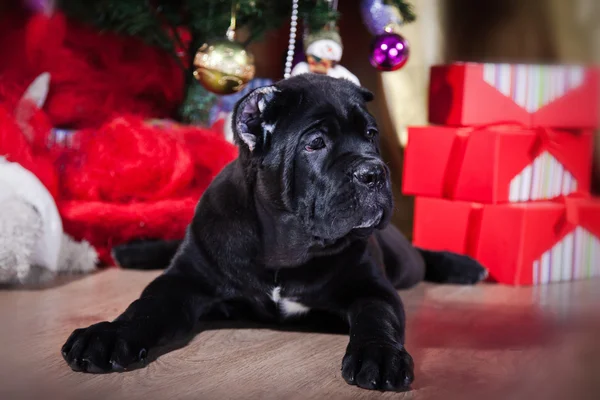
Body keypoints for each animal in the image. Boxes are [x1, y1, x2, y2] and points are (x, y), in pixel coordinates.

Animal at [61, 74, 486, 390]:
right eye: (316, 142)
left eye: (370, 134)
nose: (374, 172)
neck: (288, 246)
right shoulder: (183, 279)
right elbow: (144, 308)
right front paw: (108, 335)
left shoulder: (372, 286)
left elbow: (378, 316)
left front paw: (380, 356)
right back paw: (131, 251)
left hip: (403, 262)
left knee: (421, 256)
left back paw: (465, 266)